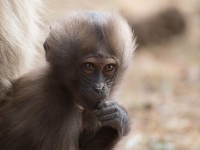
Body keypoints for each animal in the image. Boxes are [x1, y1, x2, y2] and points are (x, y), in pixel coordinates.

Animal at [0, 11, 136, 150]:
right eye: (89, 66)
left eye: (109, 67)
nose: (99, 88)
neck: (63, 87)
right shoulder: (56, 113)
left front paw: (119, 118)